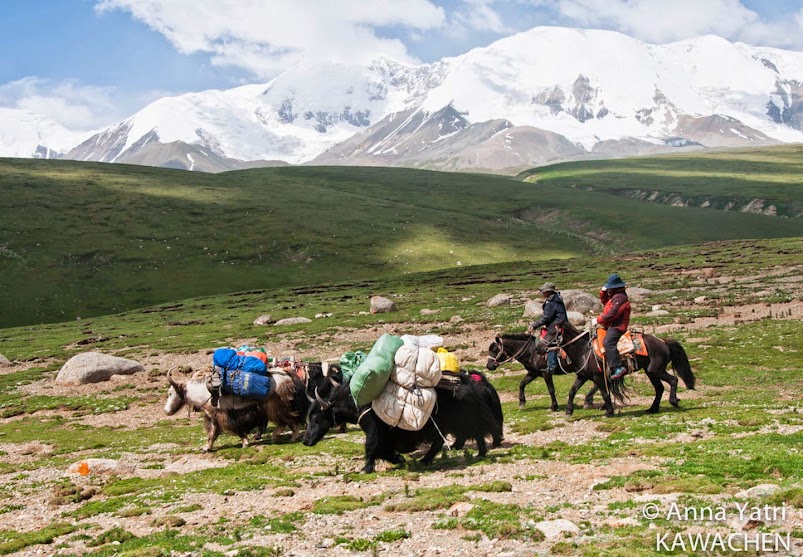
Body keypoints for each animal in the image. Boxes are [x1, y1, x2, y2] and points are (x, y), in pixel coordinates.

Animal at [486, 322, 696, 412]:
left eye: (495, 349)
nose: (489, 365)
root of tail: (663, 341)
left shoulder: (546, 373)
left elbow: (551, 390)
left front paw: (554, 407)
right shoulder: (534, 373)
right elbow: (522, 384)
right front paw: (522, 402)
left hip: (655, 370)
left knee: (673, 380)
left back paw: (673, 401)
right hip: (650, 371)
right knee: (659, 388)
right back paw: (651, 409)